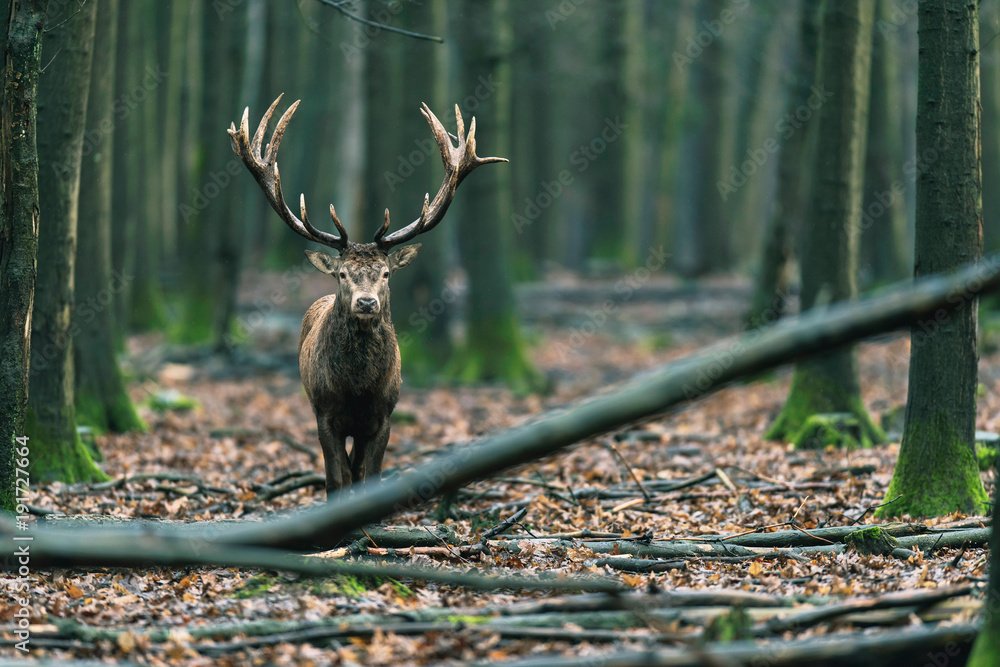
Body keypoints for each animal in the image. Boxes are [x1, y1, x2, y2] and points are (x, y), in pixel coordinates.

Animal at [228, 94, 507, 500]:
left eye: (386, 273)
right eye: (342, 274)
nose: (366, 303)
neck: (358, 389)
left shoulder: (384, 416)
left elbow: (369, 474)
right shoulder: (325, 414)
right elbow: (336, 478)